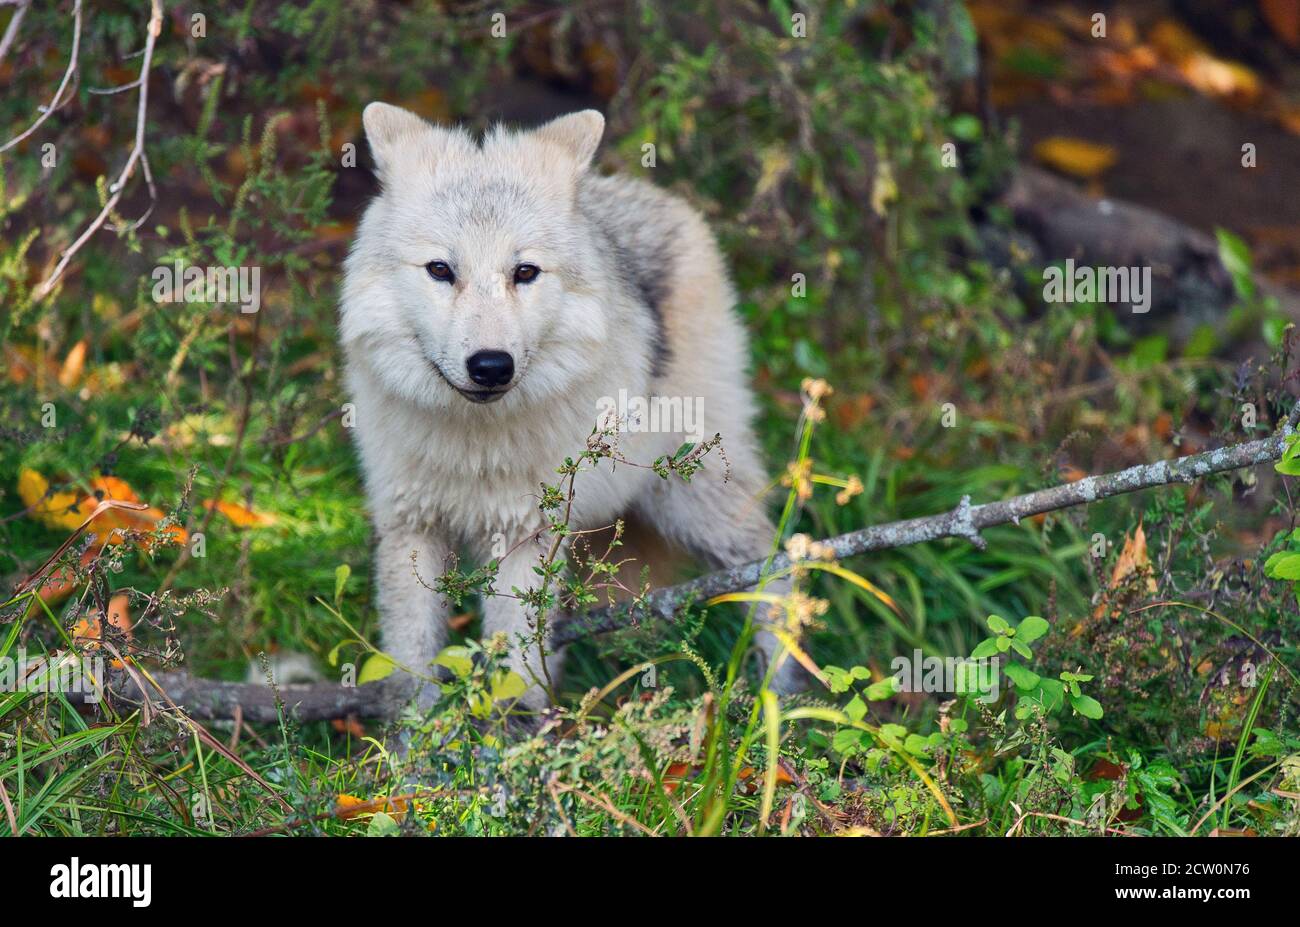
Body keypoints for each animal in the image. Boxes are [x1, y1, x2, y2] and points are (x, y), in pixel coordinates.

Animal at [340, 103, 795, 707]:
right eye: (440, 269)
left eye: (524, 272)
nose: (491, 365)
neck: (475, 447)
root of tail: (664, 203)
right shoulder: (411, 526)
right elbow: (413, 667)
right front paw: (416, 734)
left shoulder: (525, 535)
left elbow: (514, 664)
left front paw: (512, 731)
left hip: (694, 499)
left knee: (773, 566)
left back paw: (781, 696)